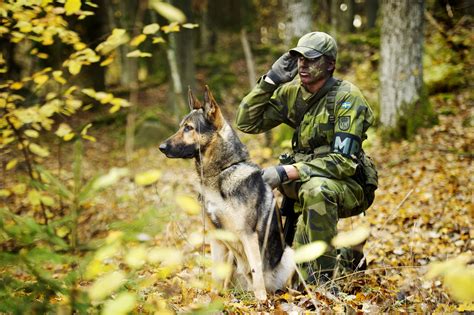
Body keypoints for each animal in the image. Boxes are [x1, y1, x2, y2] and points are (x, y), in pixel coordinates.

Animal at [159, 86, 292, 302]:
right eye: (180, 127)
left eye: (189, 128)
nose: (161, 147)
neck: (221, 172)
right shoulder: (216, 237)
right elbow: (215, 274)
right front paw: (212, 301)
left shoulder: (248, 235)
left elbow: (256, 273)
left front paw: (261, 303)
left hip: (289, 254)